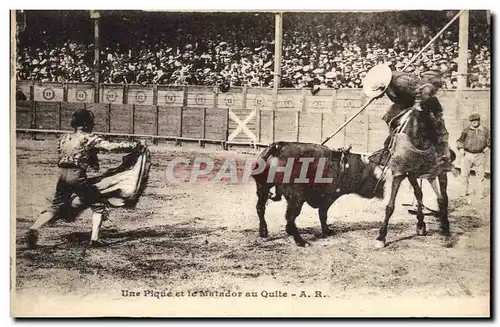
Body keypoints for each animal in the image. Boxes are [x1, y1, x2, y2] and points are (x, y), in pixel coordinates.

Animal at [252, 142, 384, 247]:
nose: (382, 191)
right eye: (374, 177)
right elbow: (323, 214)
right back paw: (301, 241)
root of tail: (277, 147)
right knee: (290, 217)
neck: (347, 167)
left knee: (260, 208)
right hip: (296, 198)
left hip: (263, 187)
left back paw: (263, 231)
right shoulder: (329, 197)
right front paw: (326, 231)